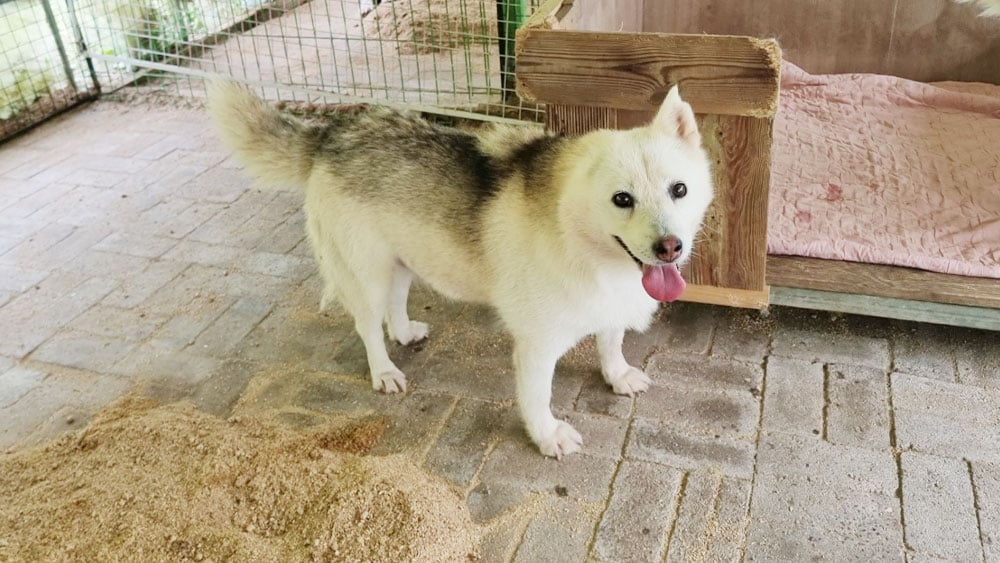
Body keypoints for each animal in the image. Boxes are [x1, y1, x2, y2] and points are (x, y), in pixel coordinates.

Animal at [209, 82, 712, 458]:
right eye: (622, 199)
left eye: (679, 189)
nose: (669, 248)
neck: (580, 240)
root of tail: (333, 131)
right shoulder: (538, 344)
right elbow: (538, 397)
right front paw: (546, 435)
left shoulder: (608, 308)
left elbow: (610, 343)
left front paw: (617, 375)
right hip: (367, 277)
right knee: (368, 327)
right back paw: (383, 371)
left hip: (400, 264)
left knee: (394, 308)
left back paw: (405, 333)